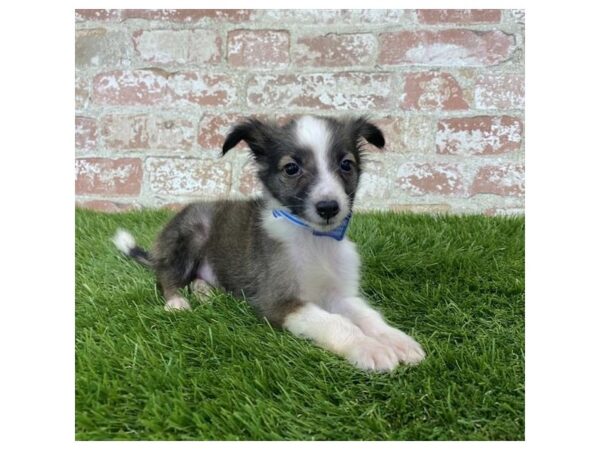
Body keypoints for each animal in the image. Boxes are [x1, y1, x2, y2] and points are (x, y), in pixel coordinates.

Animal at [111, 114, 422, 370]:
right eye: (291, 168)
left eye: (346, 165)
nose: (329, 208)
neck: (314, 239)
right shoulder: (278, 300)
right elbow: (336, 322)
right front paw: (370, 348)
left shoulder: (339, 294)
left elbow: (368, 317)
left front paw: (398, 341)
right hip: (190, 233)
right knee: (165, 276)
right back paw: (177, 302)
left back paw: (204, 291)